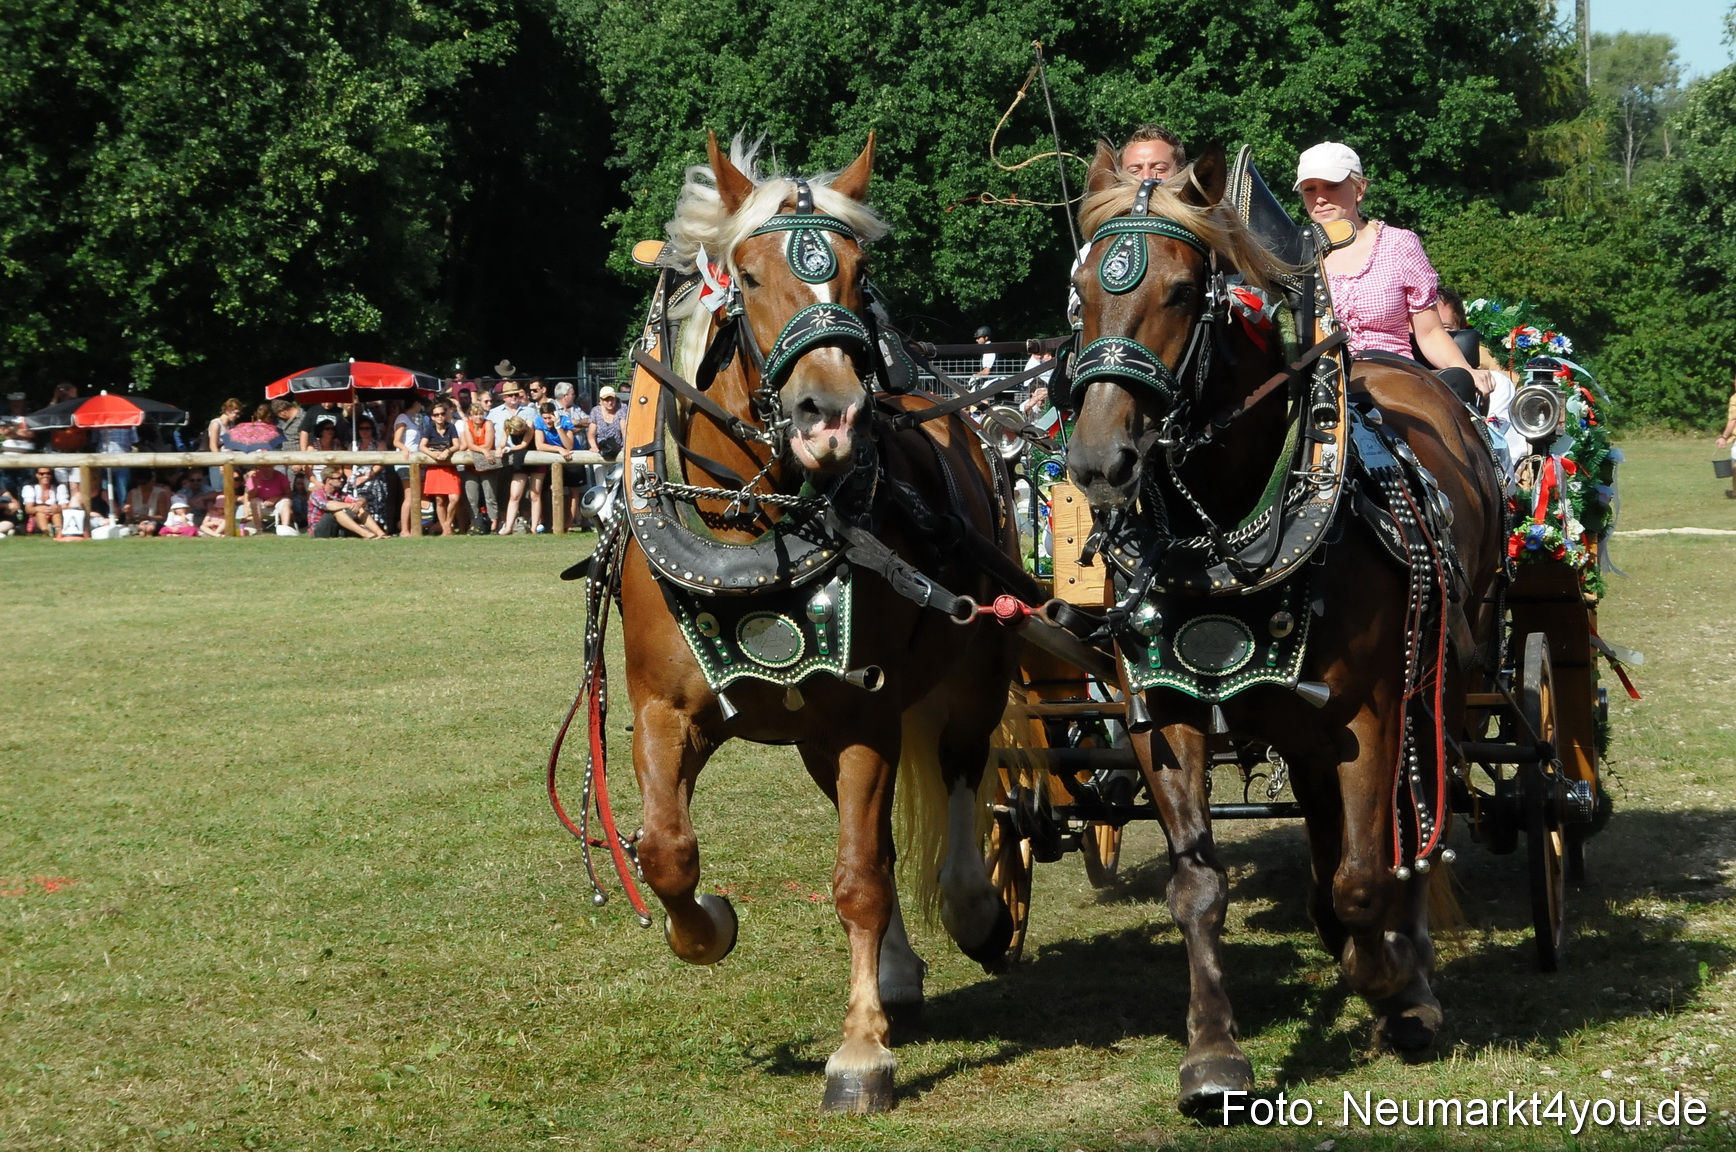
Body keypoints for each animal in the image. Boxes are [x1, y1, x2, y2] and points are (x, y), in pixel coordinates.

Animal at [609, 132, 1024, 1113]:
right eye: (749, 277)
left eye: (859, 271)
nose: (830, 416)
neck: (749, 528)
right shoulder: (663, 709)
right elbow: (667, 851)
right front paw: (708, 925)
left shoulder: (865, 712)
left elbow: (860, 880)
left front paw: (861, 1053)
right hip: (809, 737)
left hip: (974, 674)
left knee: (952, 790)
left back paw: (975, 909)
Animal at [1063, 142, 1504, 1114]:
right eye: (1080, 288)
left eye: (1182, 290)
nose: (1101, 459)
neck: (1237, 529)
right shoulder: (1165, 709)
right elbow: (1197, 887)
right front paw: (1212, 1056)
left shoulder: (1370, 713)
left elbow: (1368, 875)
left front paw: (1393, 985)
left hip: (1439, 678)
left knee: (1419, 816)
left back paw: (1408, 971)